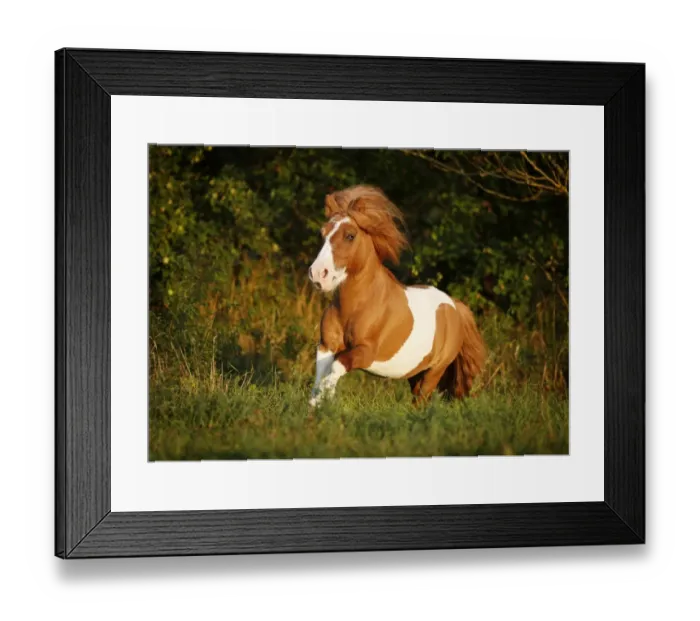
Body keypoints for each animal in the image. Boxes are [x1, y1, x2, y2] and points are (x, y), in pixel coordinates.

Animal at [307, 185, 486, 407]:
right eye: (322, 234)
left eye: (350, 235)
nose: (317, 274)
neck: (357, 306)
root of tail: (454, 306)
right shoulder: (326, 346)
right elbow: (319, 379)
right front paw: (314, 408)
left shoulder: (366, 352)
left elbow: (335, 369)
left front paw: (326, 401)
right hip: (416, 374)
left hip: (435, 371)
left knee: (422, 400)